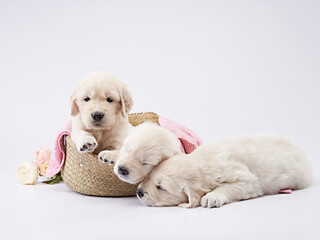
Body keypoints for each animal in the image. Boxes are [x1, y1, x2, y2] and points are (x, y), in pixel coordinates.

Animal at [137, 134, 312, 207]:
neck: (202, 161)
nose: (139, 192)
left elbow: (232, 186)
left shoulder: (246, 179)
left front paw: (212, 197)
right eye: (150, 176)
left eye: (161, 187)